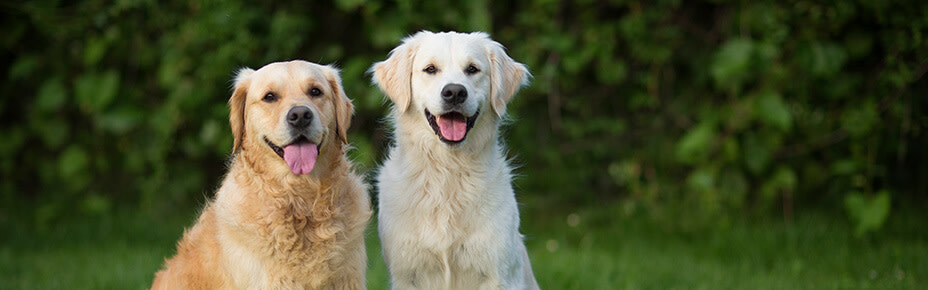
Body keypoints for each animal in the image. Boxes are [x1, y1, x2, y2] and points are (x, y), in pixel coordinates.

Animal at [370, 31, 540, 290]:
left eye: (472, 69)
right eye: (430, 69)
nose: (455, 92)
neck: (447, 170)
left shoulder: (497, 274)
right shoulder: (406, 274)